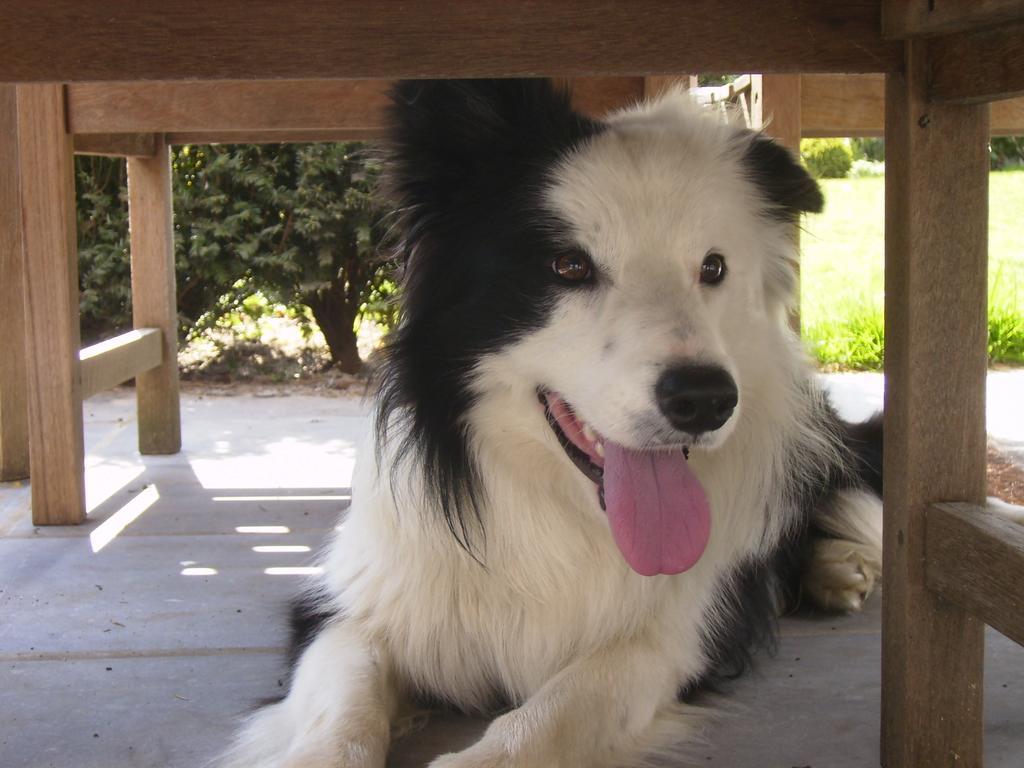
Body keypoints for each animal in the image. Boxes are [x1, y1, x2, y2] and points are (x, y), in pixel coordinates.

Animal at [220, 79, 884, 768]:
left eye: (713, 268)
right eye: (568, 266)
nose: (705, 400)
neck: (557, 513)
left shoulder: (673, 635)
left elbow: (557, 707)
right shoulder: (347, 608)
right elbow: (343, 702)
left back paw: (836, 568)